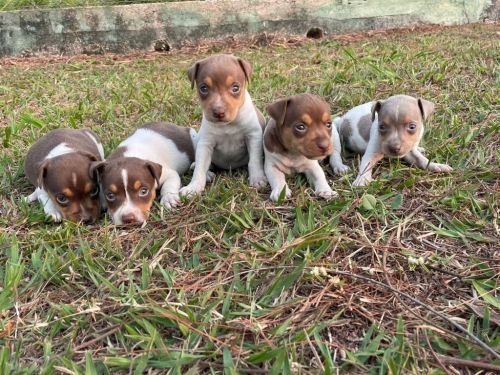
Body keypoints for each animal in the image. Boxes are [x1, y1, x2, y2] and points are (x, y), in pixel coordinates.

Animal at [179, 55, 268, 197]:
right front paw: (193, 188)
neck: (228, 125)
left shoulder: (253, 136)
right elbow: (200, 168)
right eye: (203, 88)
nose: (218, 112)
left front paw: (257, 178)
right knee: (201, 165)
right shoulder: (205, 144)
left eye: (235, 88)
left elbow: (254, 160)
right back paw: (207, 173)